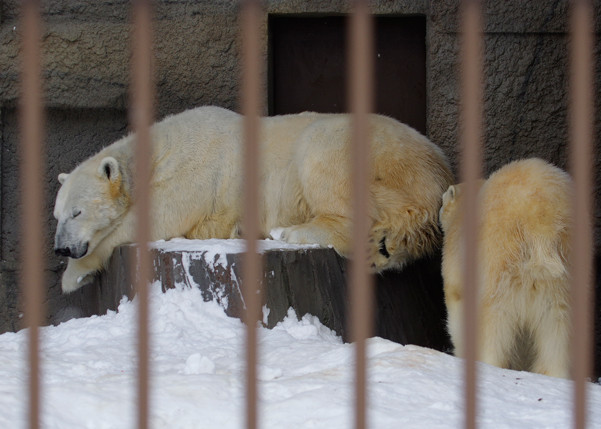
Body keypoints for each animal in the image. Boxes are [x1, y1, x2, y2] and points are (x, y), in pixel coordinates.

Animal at [55, 105, 450, 292]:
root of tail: (435, 172)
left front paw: (73, 276)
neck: (159, 152)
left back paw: (290, 232)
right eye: (57, 215)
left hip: (367, 149)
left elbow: (158, 214)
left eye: (77, 212)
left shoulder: (198, 169)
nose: (60, 248)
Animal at [440, 158, 572, 378]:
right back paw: (555, 373)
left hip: (500, 260)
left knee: (495, 318)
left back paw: (490, 362)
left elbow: (457, 304)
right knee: (558, 322)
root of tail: (540, 219)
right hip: (564, 269)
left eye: (442, 200)